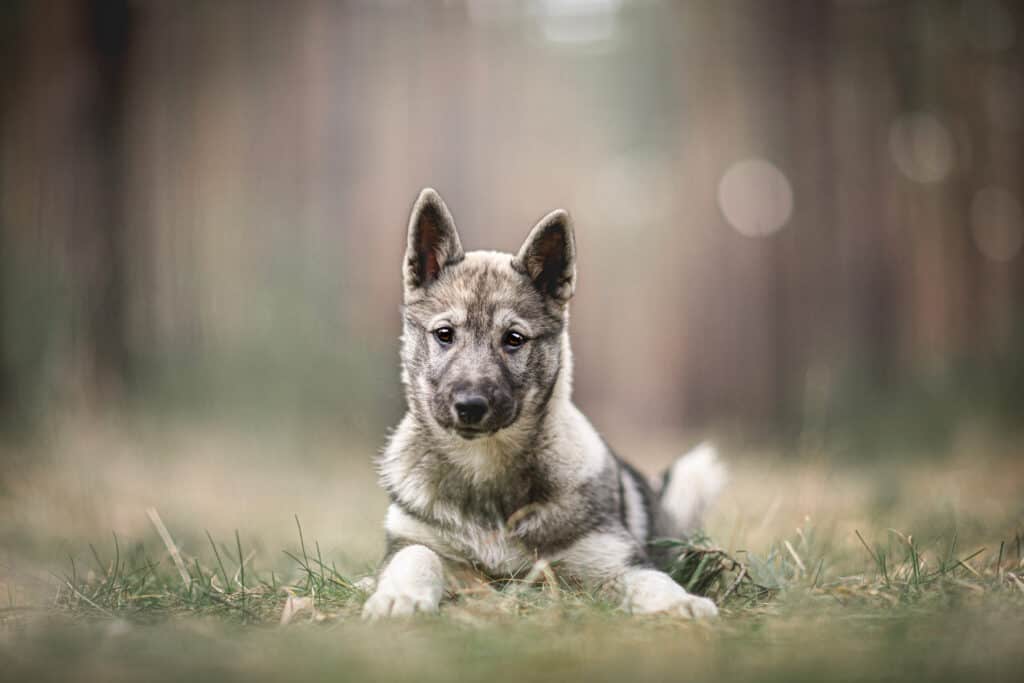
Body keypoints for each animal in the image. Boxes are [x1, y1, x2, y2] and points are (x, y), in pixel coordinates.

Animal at [364, 188, 724, 618]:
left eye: (514, 339)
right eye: (445, 334)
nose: (470, 406)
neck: (485, 466)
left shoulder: (614, 562)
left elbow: (652, 580)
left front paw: (680, 603)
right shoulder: (415, 541)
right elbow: (416, 556)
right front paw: (398, 596)